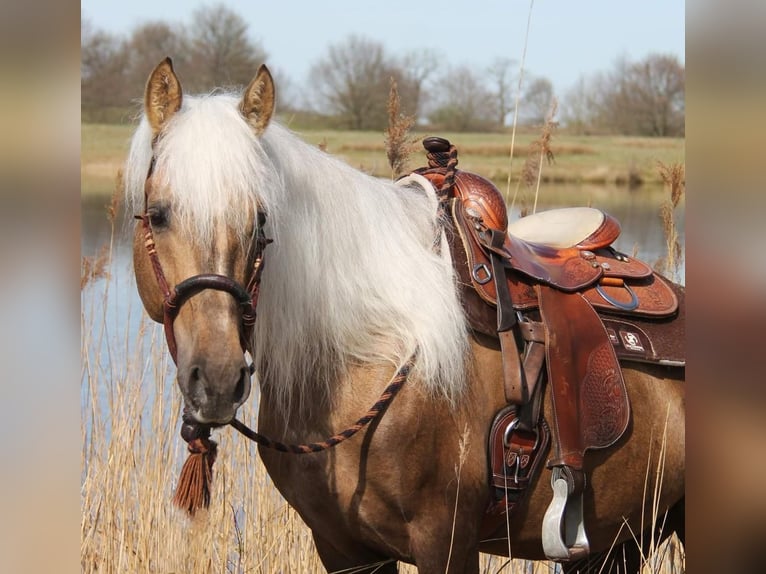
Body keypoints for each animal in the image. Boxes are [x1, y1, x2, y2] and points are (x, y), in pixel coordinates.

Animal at [127, 59, 688, 574]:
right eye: (157, 214)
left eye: (260, 219)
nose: (217, 380)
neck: (364, 352)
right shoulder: (342, 547)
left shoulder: (446, 540)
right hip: (622, 539)